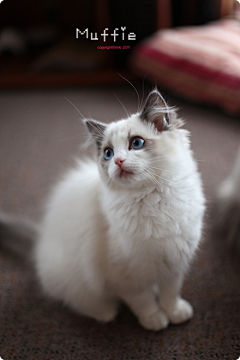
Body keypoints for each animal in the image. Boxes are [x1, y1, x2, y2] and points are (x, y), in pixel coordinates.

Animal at [0, 90, 205, 332]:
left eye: (136, 143)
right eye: (108, 153)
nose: (118, 161)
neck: (155, 200)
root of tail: (40, 240)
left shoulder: (174, 263)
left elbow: (170, 293)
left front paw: (175, 312)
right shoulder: (125, 277)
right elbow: (143, 301)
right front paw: (155, 319)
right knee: (80, 301)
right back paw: (105, 313)